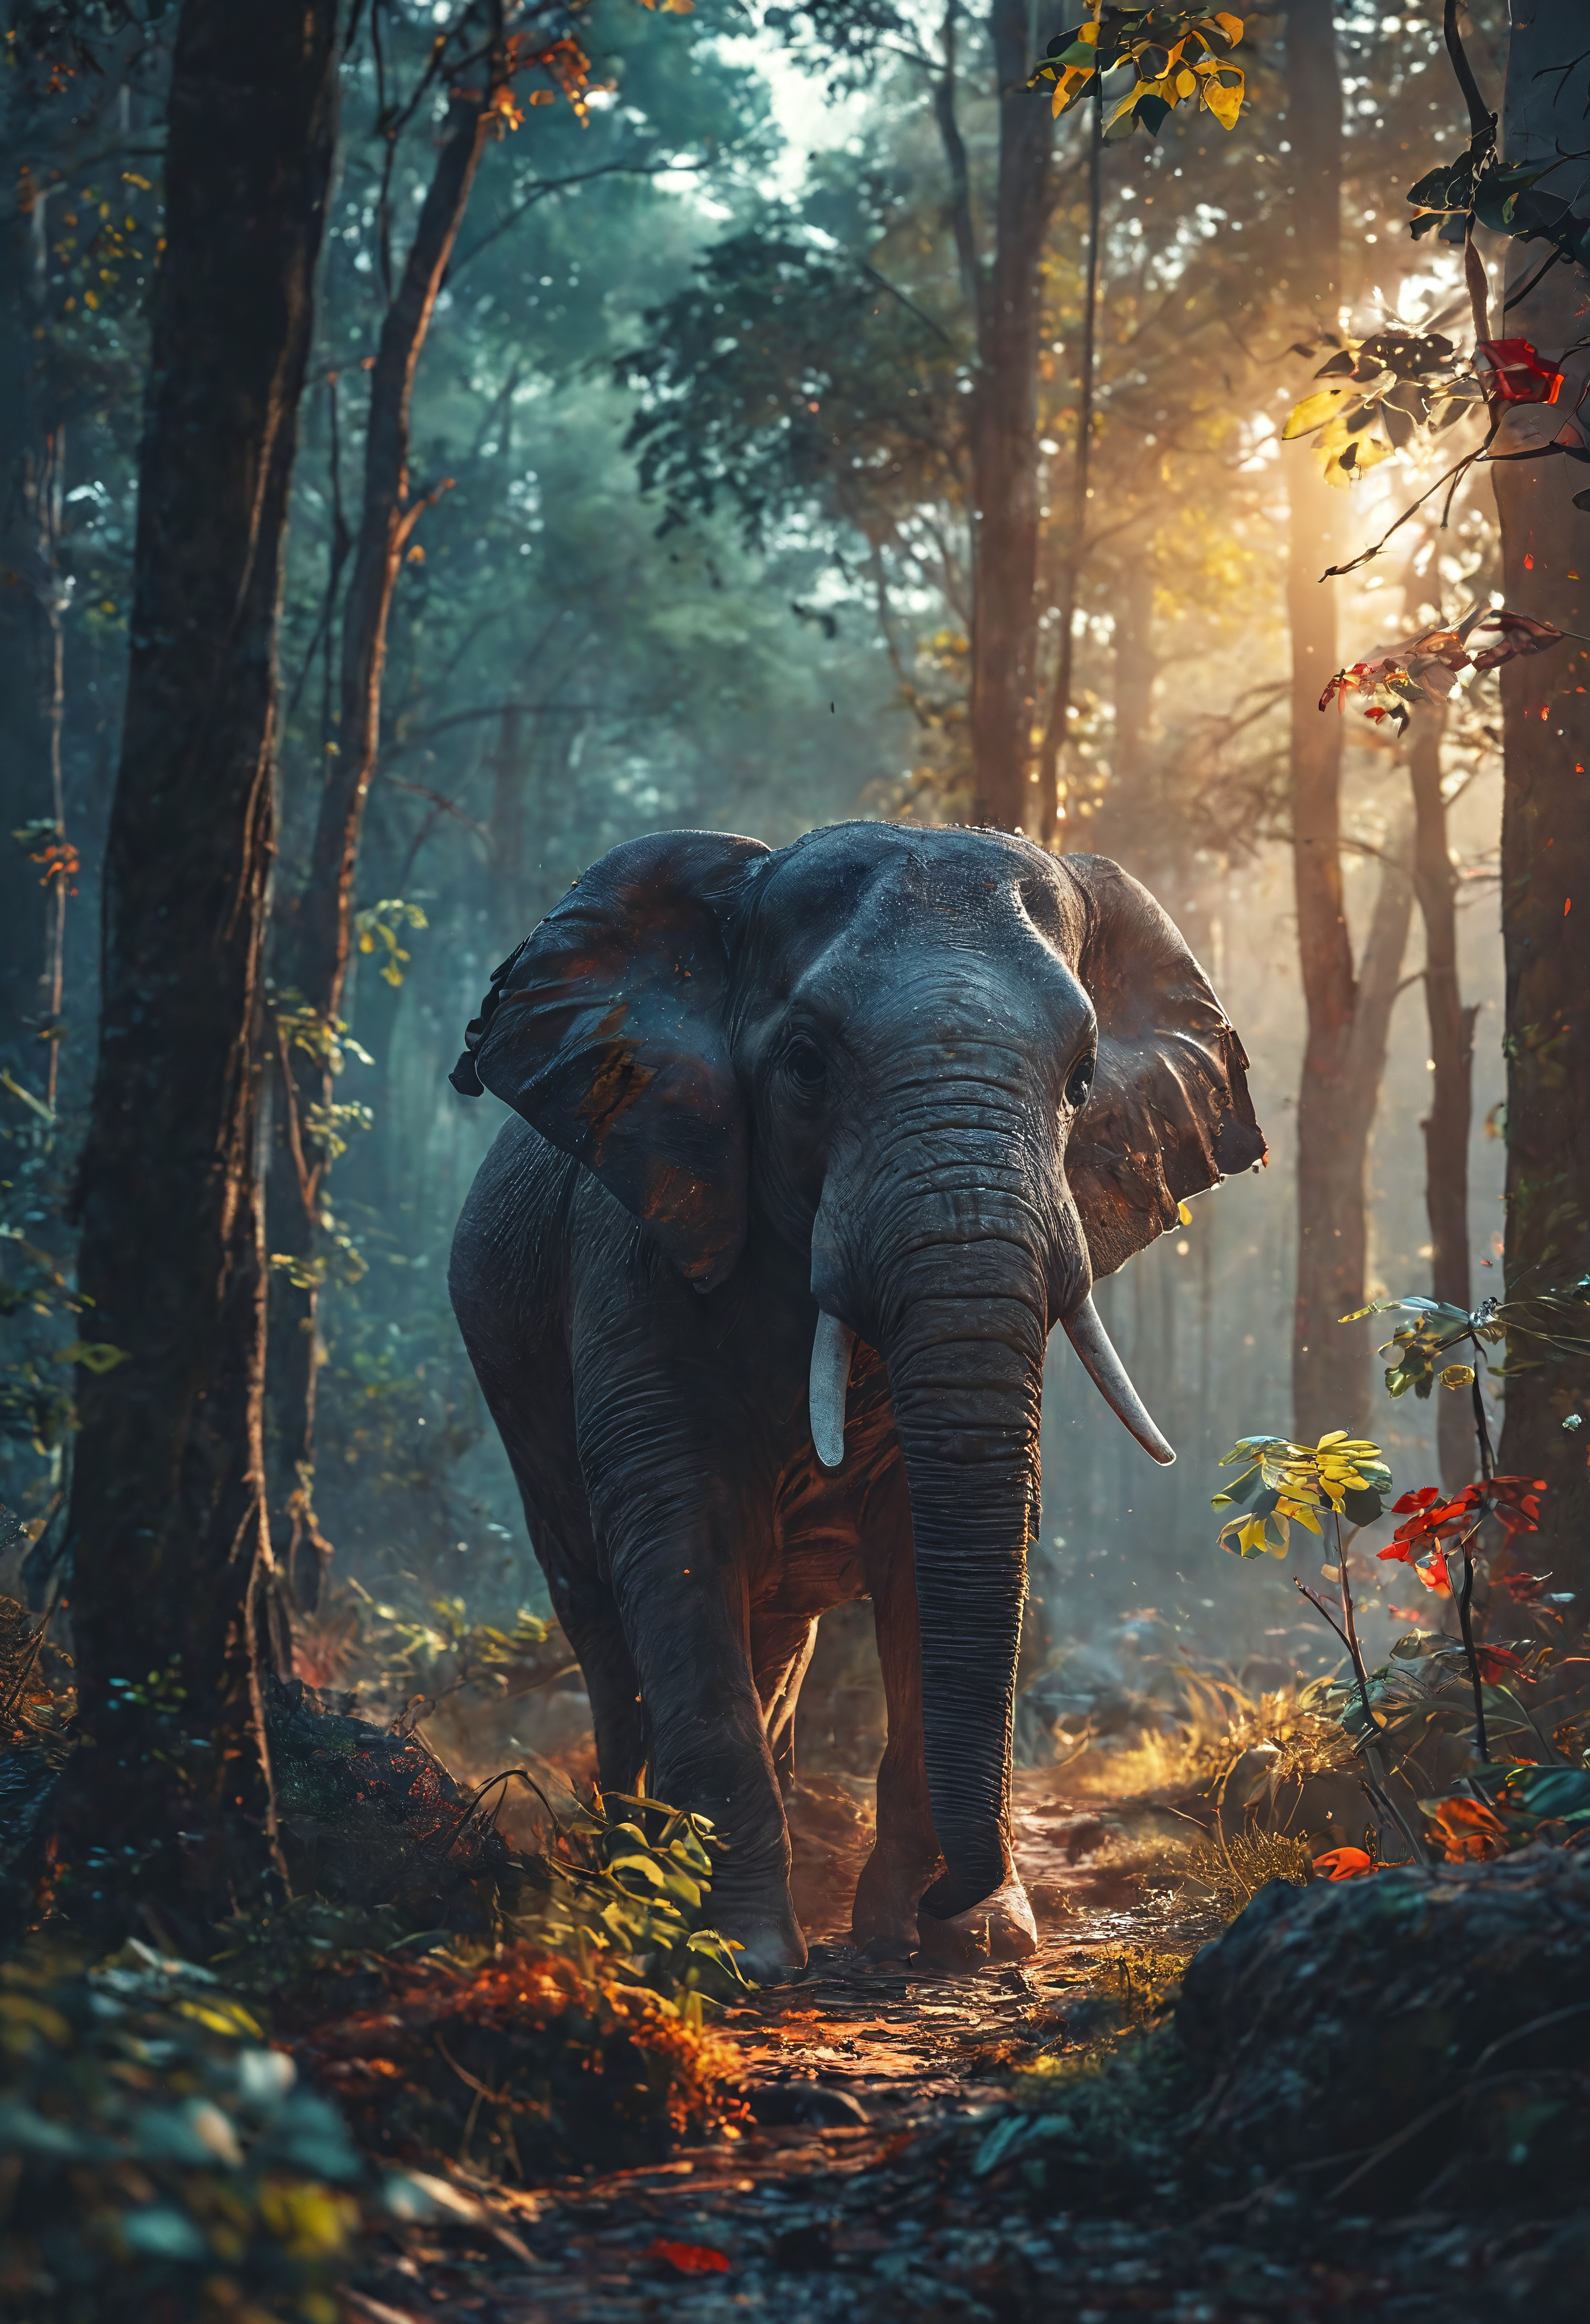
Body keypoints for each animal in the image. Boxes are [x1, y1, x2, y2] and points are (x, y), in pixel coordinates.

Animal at [447, 820, 1265, 1980]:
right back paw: (629, 1874)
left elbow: (937, 1546)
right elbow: (677, 1529)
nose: (951, 1892)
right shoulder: (636, 1243)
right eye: (803, 1062)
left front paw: (960, 1940)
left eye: (1081, 1078)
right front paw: (736, 1951)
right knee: (600, 1614)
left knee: (774, 1634)